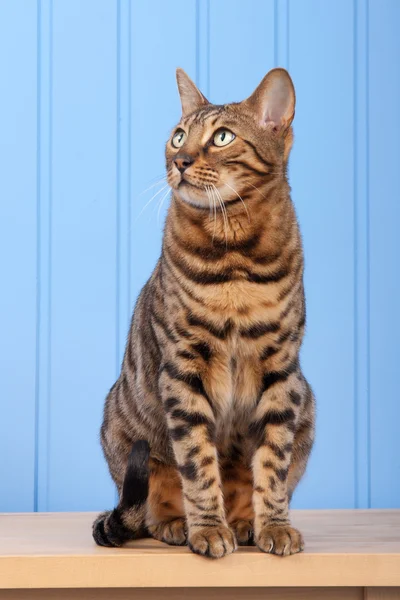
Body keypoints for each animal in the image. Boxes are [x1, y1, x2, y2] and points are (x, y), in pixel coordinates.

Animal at [94, 68, 316, 560]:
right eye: (178, 136)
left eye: (222, 137)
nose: (180, 160)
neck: (235, 253)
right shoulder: (184, 368)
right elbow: (197, 463)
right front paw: (209, 528)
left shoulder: (281, 370)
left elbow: (272, 463)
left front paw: (274, 524)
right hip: (125, 435)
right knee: (147, 506)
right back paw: (179, 523)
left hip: (307, 407)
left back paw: (245, 522)